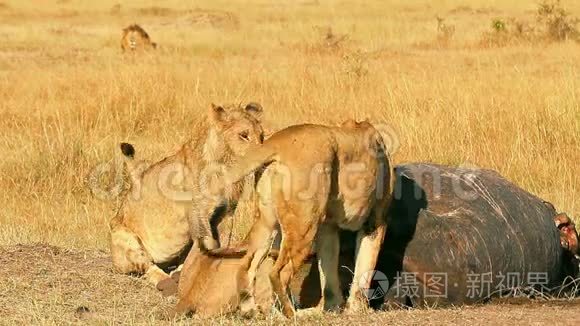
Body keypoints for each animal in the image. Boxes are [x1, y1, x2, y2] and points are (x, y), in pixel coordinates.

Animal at [109, 102, 266, 292]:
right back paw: (167, 282)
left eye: (262, 136)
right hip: (124, 237)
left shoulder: (226, 212)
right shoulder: (198, 213)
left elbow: (224, 244)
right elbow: (209, 243)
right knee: (147, 266)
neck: (226, 167)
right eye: (244, 135)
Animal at [182, 118, 394, 318]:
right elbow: (364, 268)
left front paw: (331, 308)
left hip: (267, 223)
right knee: (278, 272)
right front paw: (357, 309)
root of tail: (277, 142)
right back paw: (291, 314)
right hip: (304, 224)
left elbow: (329, 274)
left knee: (247, 266)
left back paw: (252, 311)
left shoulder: (328, 227)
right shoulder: (375, 222)